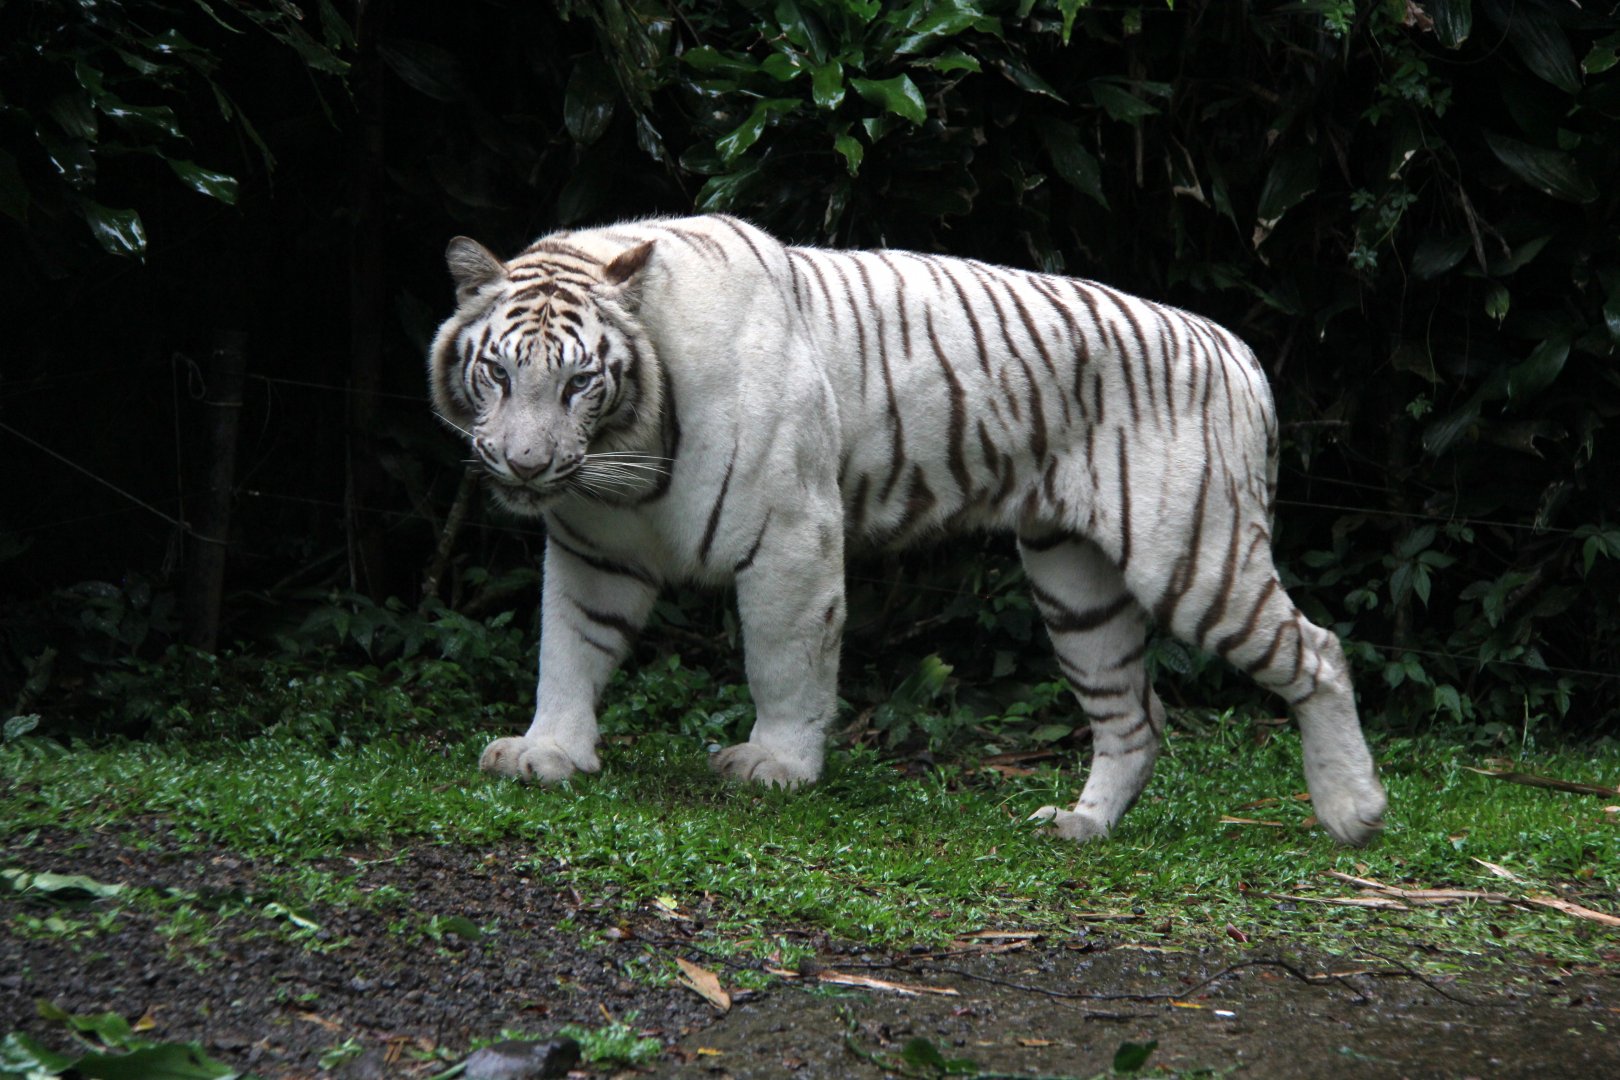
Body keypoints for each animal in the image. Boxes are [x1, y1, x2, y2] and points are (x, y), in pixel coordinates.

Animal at [428, 213, 1387, 845]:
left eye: (581, 381)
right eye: (499, 374)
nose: (523, 466)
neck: (624, 455)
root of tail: (1239, 349)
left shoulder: (791, 534)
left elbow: (783, 663)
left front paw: (777, 767)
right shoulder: (593, 547)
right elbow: (569, 649)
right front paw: (547, 752)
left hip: (1190, 552)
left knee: (1317, 650)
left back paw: (1354, 813)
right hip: (1075, 586)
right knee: (1133, 714)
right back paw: (1081, 824)